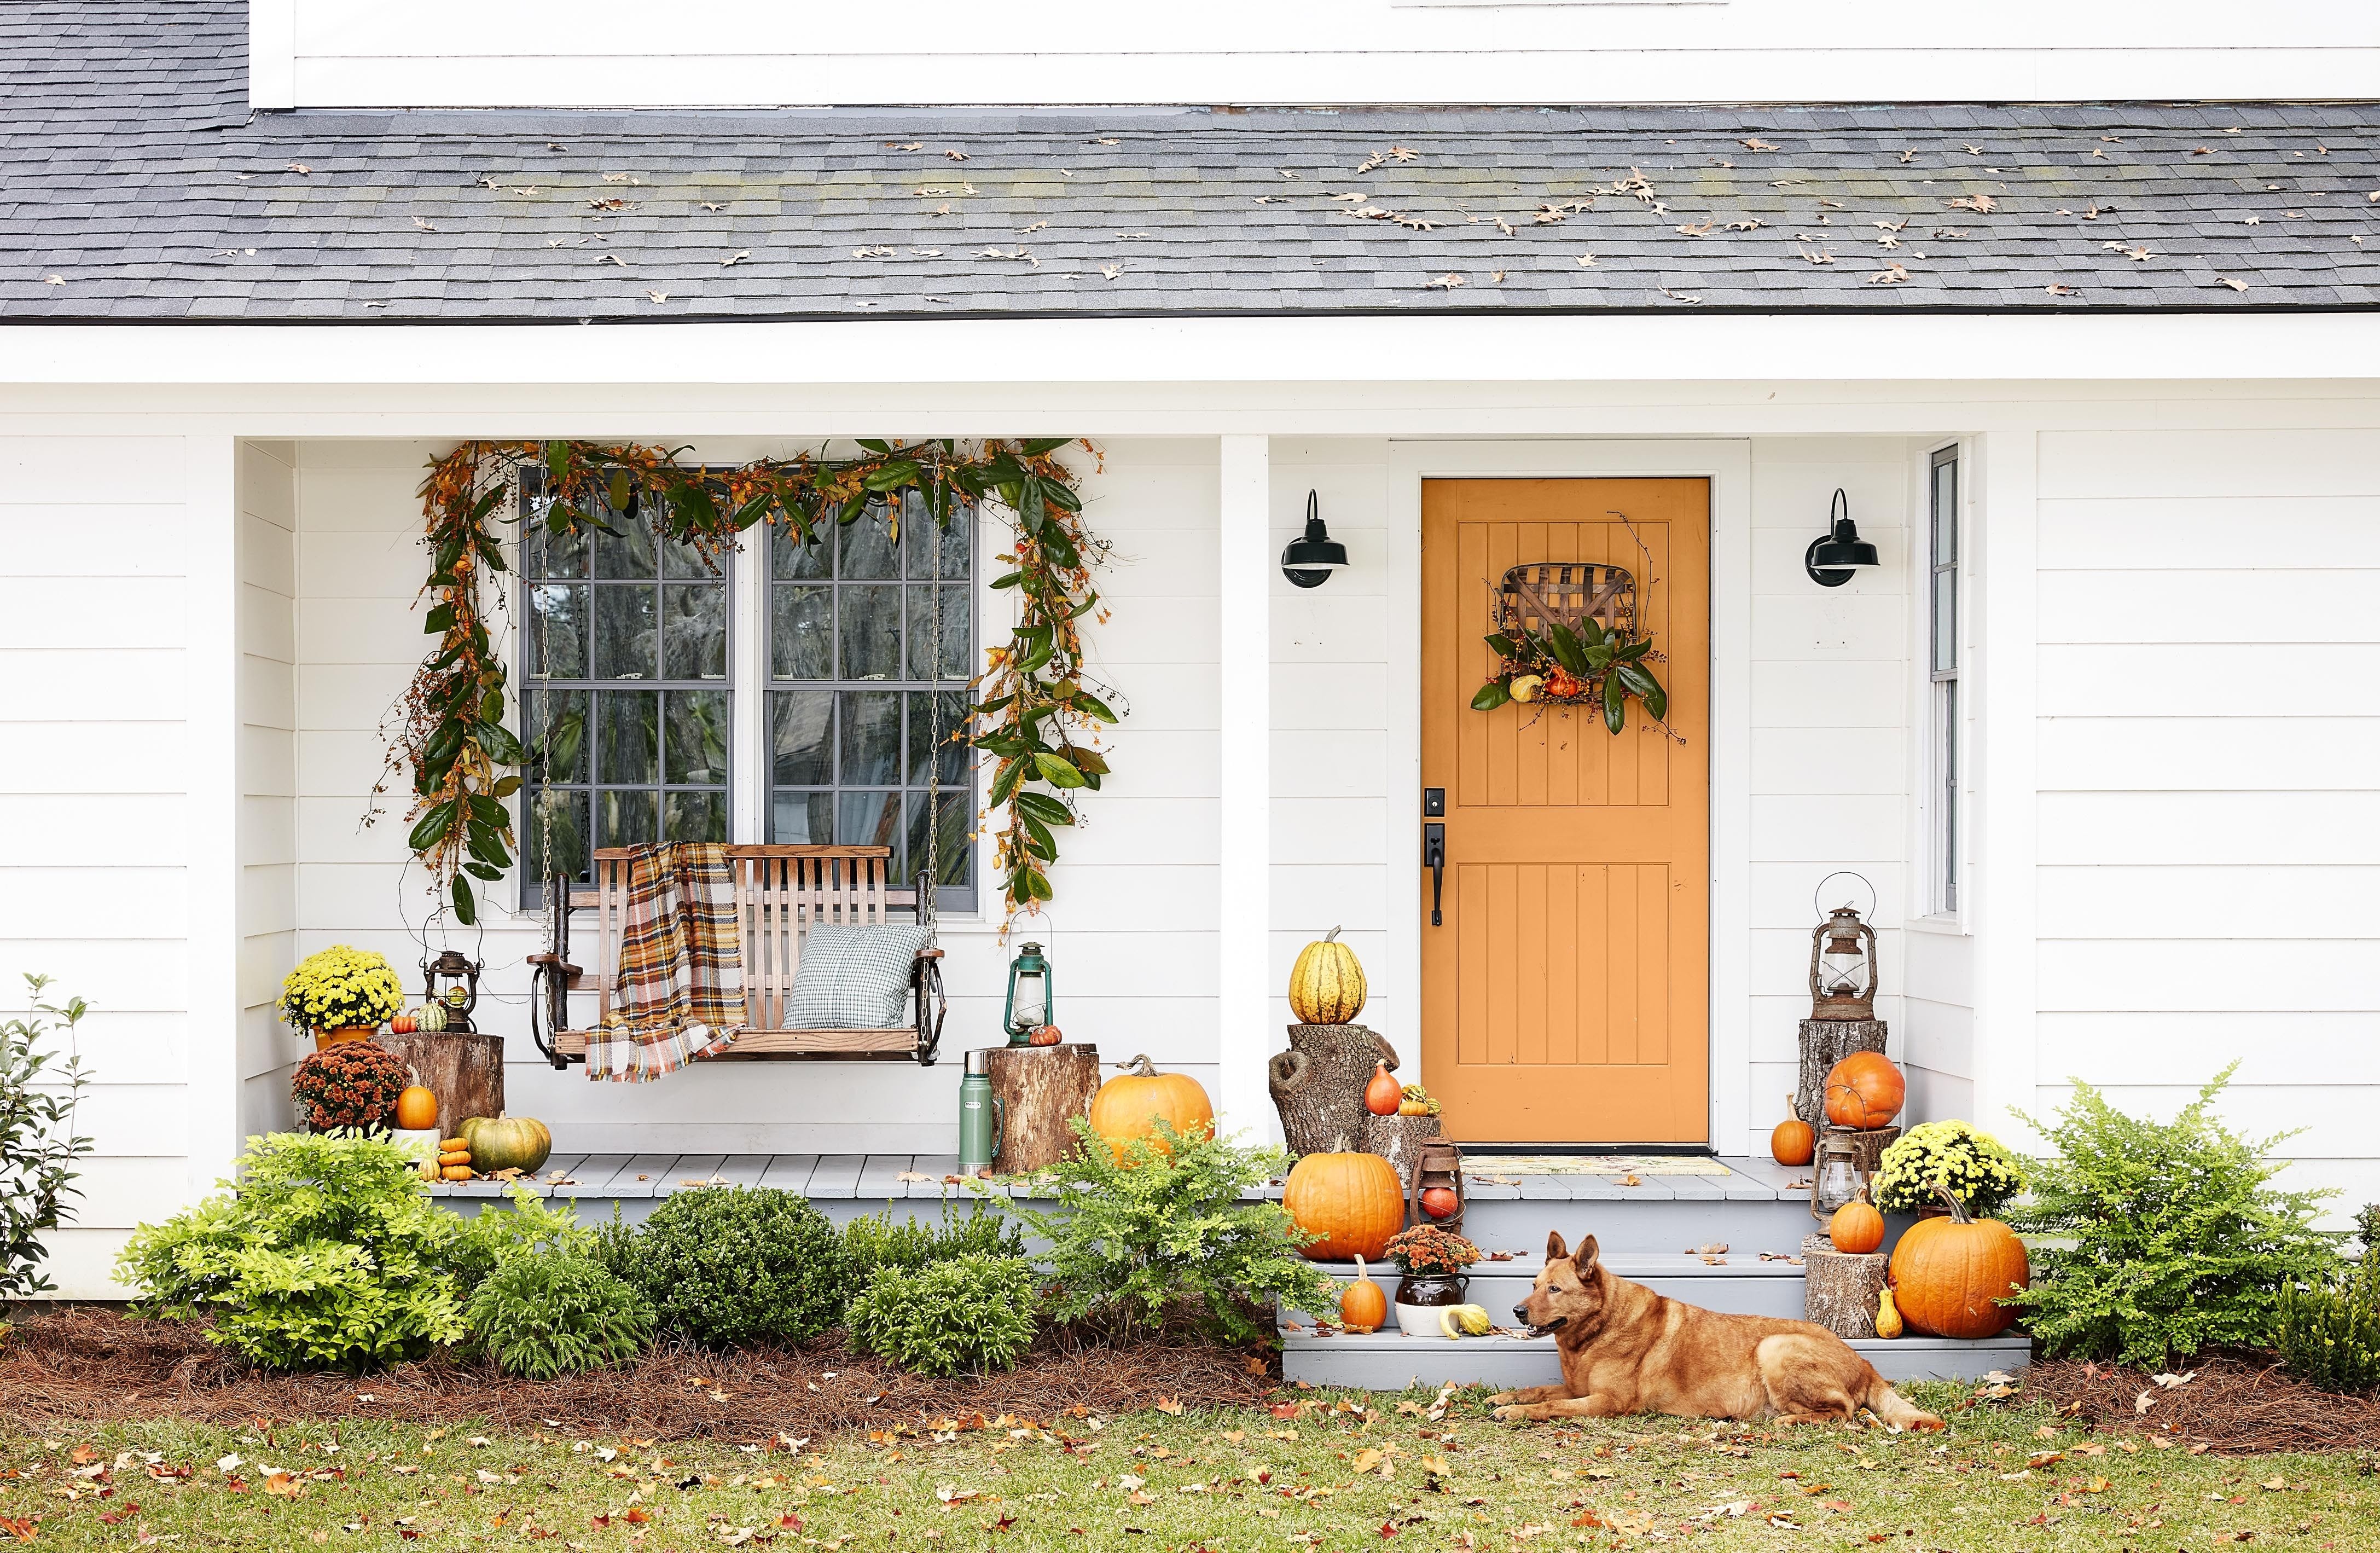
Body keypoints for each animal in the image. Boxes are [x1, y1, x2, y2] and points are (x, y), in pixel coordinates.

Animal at [1494, 1229, 1942, 1429]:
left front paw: (1516, 1411)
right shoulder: (1577, 1388)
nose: (1517, 1311)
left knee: (1844, 1412)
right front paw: (1507, 1397)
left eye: (1555, 1289)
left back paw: (1787, 1424)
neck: (1596, 1332)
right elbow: (1540, 1390)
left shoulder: (1608, 1402)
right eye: (1533, 1285)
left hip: (1774, 1348)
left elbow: (1550, 1406)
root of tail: (1864, 1362)